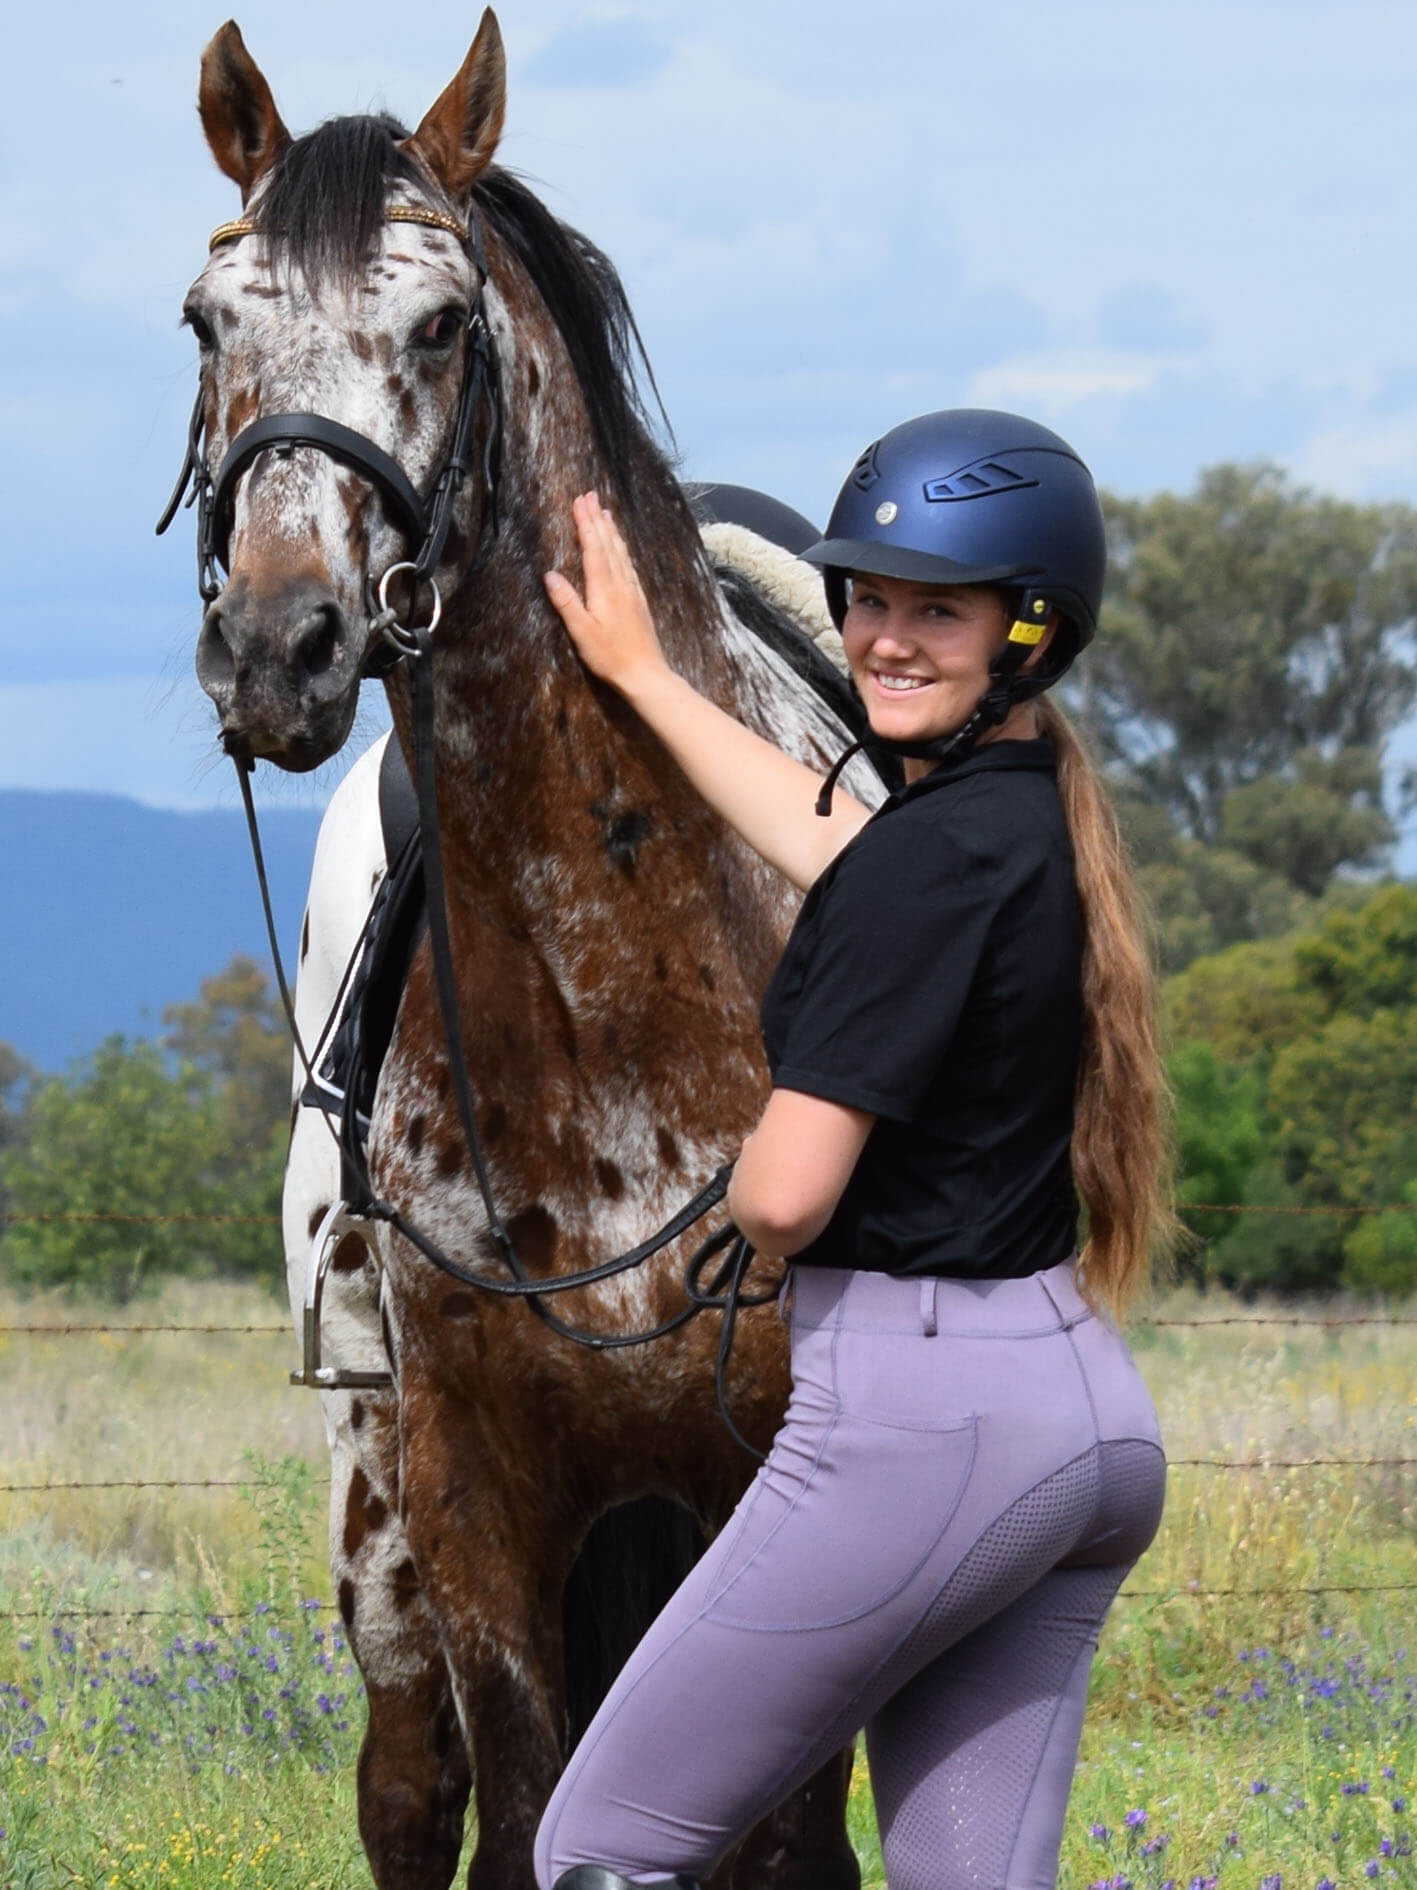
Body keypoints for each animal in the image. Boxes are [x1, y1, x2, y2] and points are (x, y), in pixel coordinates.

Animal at [177, 18, 884, 1890]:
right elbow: (511, 1802)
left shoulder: (775, 1487)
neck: (609, 995)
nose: (277, 645)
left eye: (437, 325)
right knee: (410, 1784)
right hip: (379, 1509)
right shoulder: (472, 1494)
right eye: (209, 323)